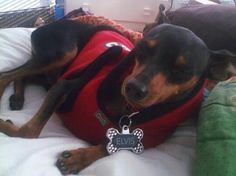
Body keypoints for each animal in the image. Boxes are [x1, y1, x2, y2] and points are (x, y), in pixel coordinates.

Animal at [0, 4, 235, 174]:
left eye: (183, 71)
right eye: (140, 49)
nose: (133, 88)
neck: (130, 108)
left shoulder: (147, 141)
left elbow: (112, 145)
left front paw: (79, 158)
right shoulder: (63, 85)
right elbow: (28, 133)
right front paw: (6, 126)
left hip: (53, 72)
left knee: (23, 75)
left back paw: (17, 97)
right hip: (62, 54)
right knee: (9, 73)